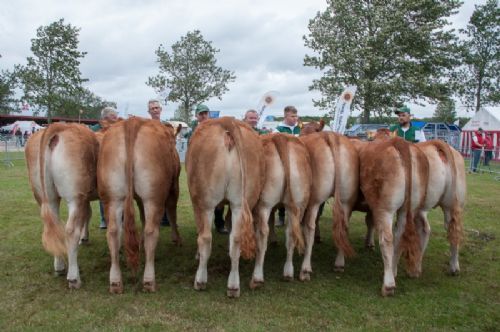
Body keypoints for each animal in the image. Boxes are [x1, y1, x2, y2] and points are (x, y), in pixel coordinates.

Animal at [25, 123, 99, 290]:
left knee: (54, 227)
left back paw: (59, 266)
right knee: (70, 231)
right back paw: (73, 278)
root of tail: (60, 126)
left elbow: (88, 214)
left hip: (47, 197)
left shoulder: (87, 198)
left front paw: (85, 237)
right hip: (75, 197)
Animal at [96, 117, 181, 294]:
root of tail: (132, 121)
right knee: (151, 231)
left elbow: (142, 217)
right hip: (153, 197)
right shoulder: (173, 187)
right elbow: (172, 213)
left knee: (113, 232)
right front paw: (176, 239)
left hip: (111, 197)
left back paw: (115, 282)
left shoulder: (138, 199)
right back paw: (149, 281)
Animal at [187, 117, 266, 298]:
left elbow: (200, 231)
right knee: (236, 239)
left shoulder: (197, 204)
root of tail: (227, 121)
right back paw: (234, 285)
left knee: (205, 238)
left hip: (205, 202)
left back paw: (200, 281)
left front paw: (197, 255)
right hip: (241, 201)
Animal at [252, 132, 310, 288]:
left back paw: (257, 277)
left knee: (263, 233)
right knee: (291, 234)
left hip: (264, 204)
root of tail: (280, 137)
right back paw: (288, 273)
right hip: (297, 205)